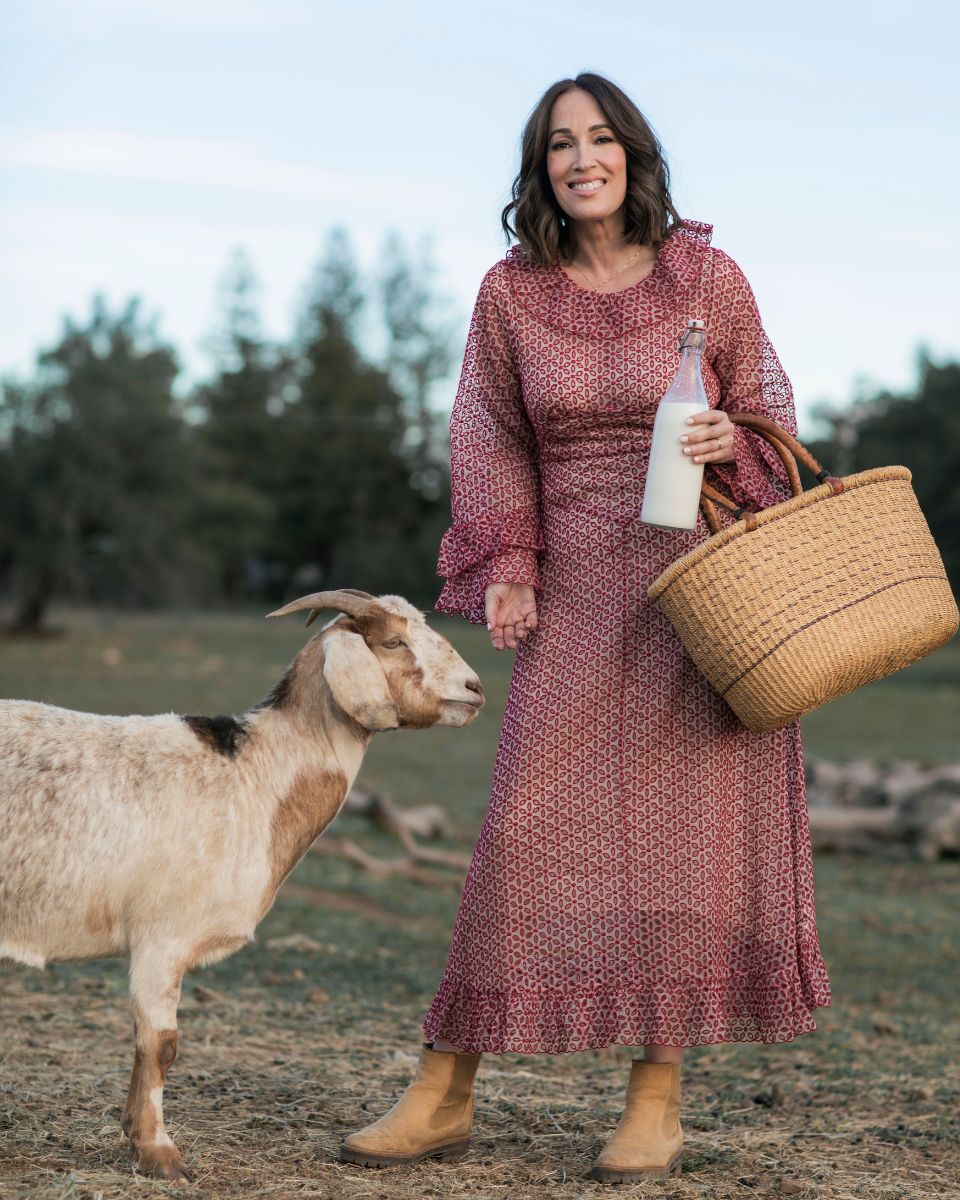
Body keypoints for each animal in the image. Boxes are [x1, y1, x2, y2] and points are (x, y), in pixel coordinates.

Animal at [0, 590, 480, 1180]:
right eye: (393, 642)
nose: (474, 688)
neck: (253, 776)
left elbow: (147, 1046)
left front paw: (137, 1140)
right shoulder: (162, 938)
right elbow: (161, 1046)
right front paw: (161, 1154)